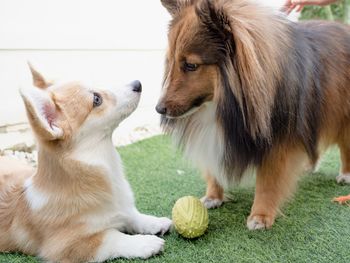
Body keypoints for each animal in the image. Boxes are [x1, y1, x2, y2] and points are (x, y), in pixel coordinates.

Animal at [0, 66, 172, 263]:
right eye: (96, 99)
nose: (138, 83)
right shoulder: (66, 246)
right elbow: (113, 236)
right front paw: (145, 242)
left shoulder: (122, 207)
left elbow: (132, 215)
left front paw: (155, 222)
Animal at [157, 0, 350, 231]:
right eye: (170, 61)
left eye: (191, 65)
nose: (159, 109)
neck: (221, 106)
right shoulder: (212, 135)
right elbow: (212, 167)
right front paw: (213, 196)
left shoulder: (278, 142)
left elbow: (267, 182)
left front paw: (260, 216)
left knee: (346, 147)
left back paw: (345, 174)